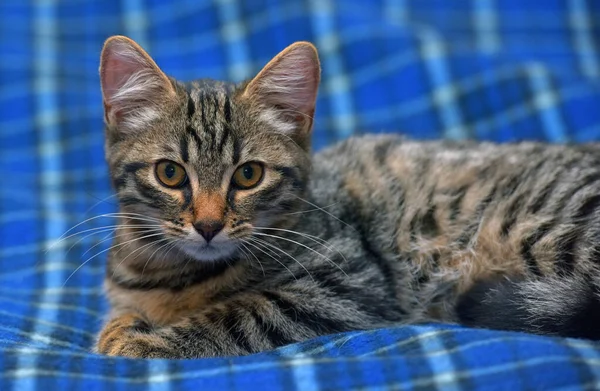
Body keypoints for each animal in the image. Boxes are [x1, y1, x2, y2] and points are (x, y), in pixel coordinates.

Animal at [96, 36, 600, 358]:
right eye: (170, 173)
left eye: (248, 175)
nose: (207, 225)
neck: (172, 274)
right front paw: (122, 325)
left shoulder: (350, 279)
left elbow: (246, 312)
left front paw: (145, 341)